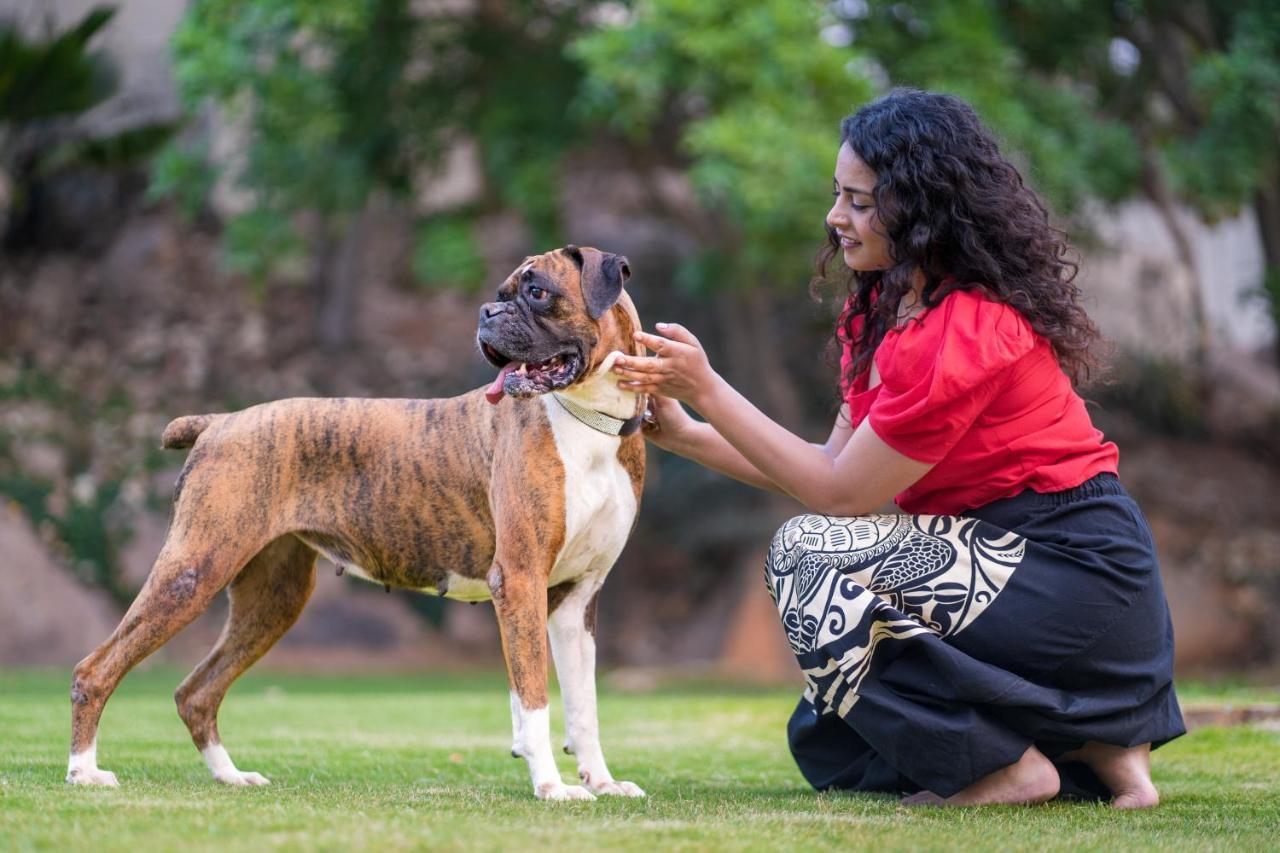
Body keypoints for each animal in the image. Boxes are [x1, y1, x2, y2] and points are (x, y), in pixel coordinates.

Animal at [67, 244, 650, 799]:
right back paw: (84, 772)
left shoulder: (576, 600)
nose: (487, 313)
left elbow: (584, 706)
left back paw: (229, 776)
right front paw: (551, 786)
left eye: (536, 291)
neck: (591, 421)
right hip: (193, 571)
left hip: (272, 601)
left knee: (196, 692)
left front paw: (601, 782)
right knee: (94, 670)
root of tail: (221, 422)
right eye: (504, 293)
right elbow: (533, 700)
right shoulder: (521, 580)